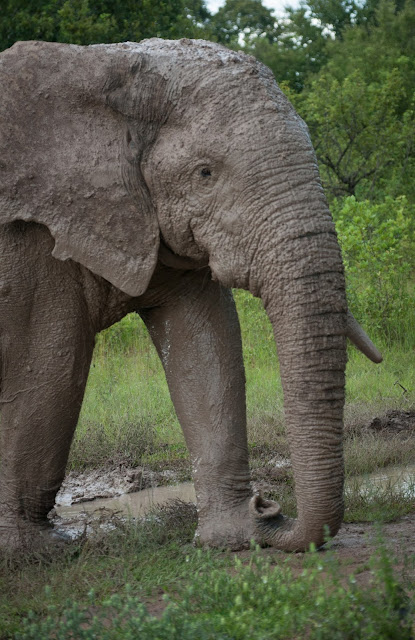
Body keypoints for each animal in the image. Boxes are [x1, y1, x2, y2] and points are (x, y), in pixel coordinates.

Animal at [0, 40, 382, 552]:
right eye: (205, 173)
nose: (270, 506)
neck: (107, 74)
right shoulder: (31, 235)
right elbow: (48, 364)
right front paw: (33, 550)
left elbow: (205, 341)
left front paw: (236, 536)